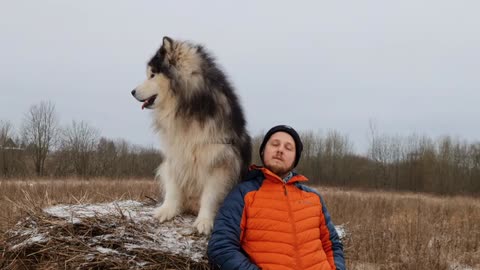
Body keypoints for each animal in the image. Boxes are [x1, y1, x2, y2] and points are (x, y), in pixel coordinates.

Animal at [131, 37, 251, 235]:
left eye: (153, 75)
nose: (132, 92)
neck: (187, 105)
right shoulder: (176, 151)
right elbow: (174, 186)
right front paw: (167, 210)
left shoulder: (218, 159)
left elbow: (210, 195)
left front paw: (204, 221)